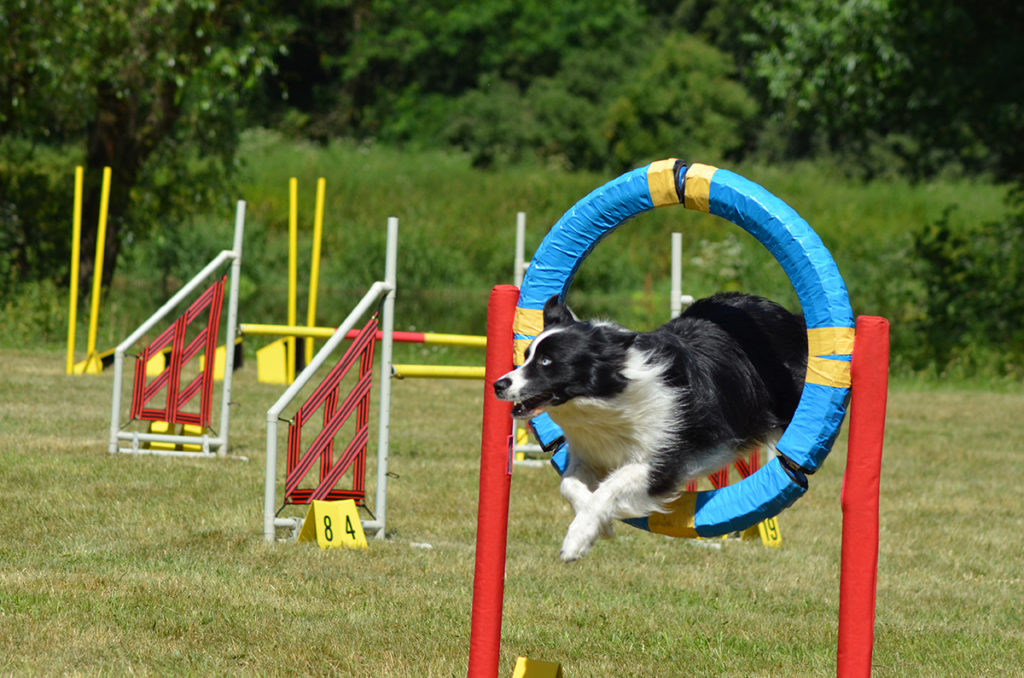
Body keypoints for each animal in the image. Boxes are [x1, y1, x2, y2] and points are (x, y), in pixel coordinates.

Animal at [495, 292, 806, 561]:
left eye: (547, 361)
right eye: (526, 356)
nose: (499, 384)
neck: (608, 398)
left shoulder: (665, 459)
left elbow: (613, 485)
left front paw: (577, 539)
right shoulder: (588, 451)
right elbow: (569, 485)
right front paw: (599, 527)